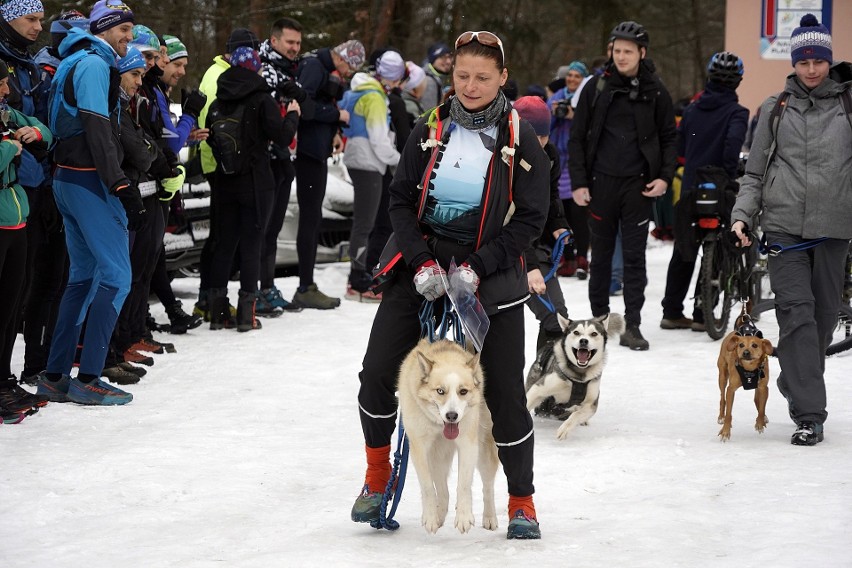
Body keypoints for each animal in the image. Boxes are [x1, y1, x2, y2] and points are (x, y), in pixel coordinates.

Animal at [398, 340, 500, 536]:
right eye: (440, 391)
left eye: (463, 391)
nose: (452, 416)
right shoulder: (419, 449)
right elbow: (428, 487)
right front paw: (430, 518)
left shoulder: (468, 445)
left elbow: (463, 485)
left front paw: (464, 517)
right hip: (437, 457)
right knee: (443, 491)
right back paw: (438, 516)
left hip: (483, 453)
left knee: (488, 487)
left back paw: (489, 517)